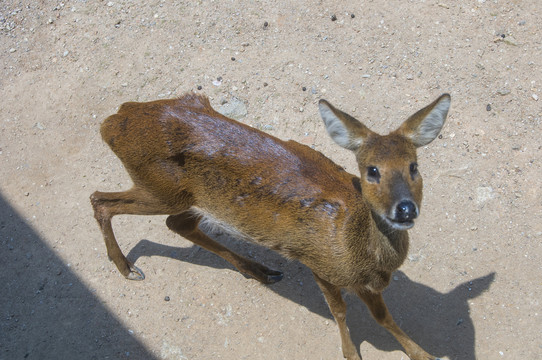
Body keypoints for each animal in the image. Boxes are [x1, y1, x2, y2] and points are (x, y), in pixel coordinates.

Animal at [91, 91, 452, 358]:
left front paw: (423, 354)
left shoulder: (364, 282)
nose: (404, 209)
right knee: (100, 200)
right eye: (372, 170)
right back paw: (127, 268)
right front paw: (351, 354)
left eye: (414, 166)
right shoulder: (320, 264)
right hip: (160, 188)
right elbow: (339, 311)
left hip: (193, 198)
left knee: (177, 224)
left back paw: (260, 270)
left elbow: (383, 317)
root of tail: (113, 120)